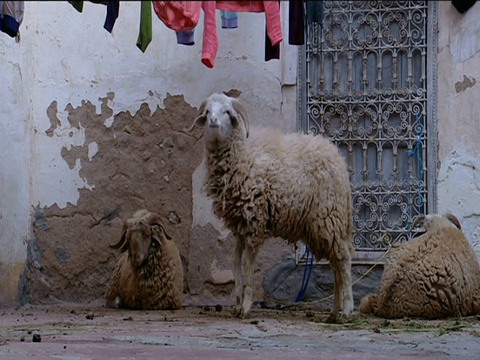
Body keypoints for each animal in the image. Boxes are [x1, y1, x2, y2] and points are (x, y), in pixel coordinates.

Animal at [189, 93, 354, 320]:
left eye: (227, 112)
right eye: (207, 112)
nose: (213, 121)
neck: (243, 156)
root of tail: (338, 160)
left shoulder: (254, 221)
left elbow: (247, 264)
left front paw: (245, 305)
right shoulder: (240, 224)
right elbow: (235, 262)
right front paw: (238, 302)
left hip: (329, 217)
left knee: (343, 261)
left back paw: (346, 309)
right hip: (321, 226)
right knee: (335, 264)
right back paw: (334, 312)